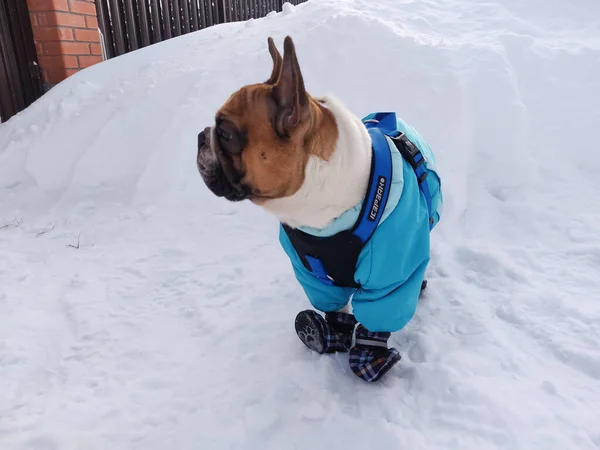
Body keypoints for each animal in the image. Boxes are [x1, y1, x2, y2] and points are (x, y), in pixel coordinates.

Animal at [197, 36, 440, 384]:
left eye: (226, 134)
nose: (201, 136)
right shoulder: (312, 273)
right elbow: (333, 309)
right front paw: (323, 333)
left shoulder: (389, 274)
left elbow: (378, 319)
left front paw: (371, 358)